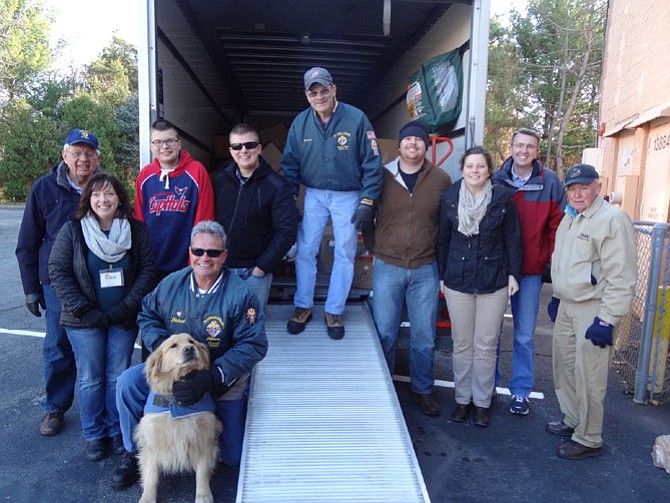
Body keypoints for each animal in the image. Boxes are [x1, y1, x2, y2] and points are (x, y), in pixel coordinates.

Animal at [135, 334, 223, 503]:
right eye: (173, 345)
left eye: (191, 342)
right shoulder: (152, 442)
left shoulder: (205, 439)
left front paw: (203, 494)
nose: (189, 349)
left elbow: (202, 472)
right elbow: (151, 476)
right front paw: (148, 497)